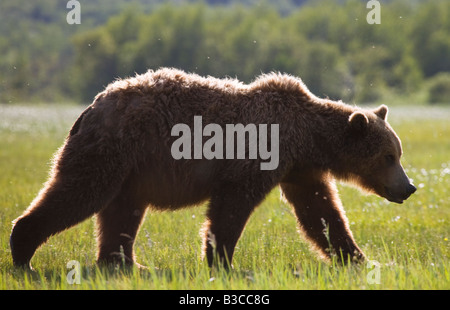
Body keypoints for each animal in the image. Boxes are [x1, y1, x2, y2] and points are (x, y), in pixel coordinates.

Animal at [10, 67, 416, 268]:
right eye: (389, 156)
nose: (409, 187)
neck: (306, 137)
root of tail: (90, 108)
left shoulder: (299, 169)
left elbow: (321, 213)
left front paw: (360, 259)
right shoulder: (257, 156)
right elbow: (231, 208)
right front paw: (222, 263)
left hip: (131, 170)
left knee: (121, 213)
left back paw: (126, 266)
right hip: (114, 149)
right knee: (82, 191)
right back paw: (23, 253)